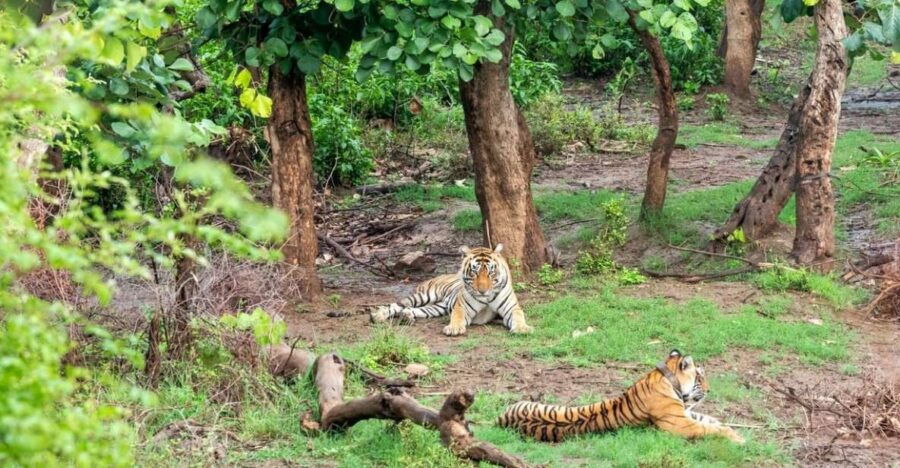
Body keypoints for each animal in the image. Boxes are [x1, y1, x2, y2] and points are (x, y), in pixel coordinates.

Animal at [369, 244, 532, 336]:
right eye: (474, 272)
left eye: (490, 273)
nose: (482, 291)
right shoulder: (461, 307)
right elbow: (457, 317)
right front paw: (454, 328)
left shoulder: (512, 308)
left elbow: (519, 316)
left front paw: (522, 328)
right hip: (424, 296)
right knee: (396, 305)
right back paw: (378, 315)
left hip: (437, 308)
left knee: (413, 310)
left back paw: (406, 316)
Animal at [497, 350, 745, 444]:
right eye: (700, 376)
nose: (709, 390)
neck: (665, 378)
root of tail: (500, 419)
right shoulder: (680, 424)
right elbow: (709, 428)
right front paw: (738, 438)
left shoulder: (685, 414)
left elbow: (711, 421)